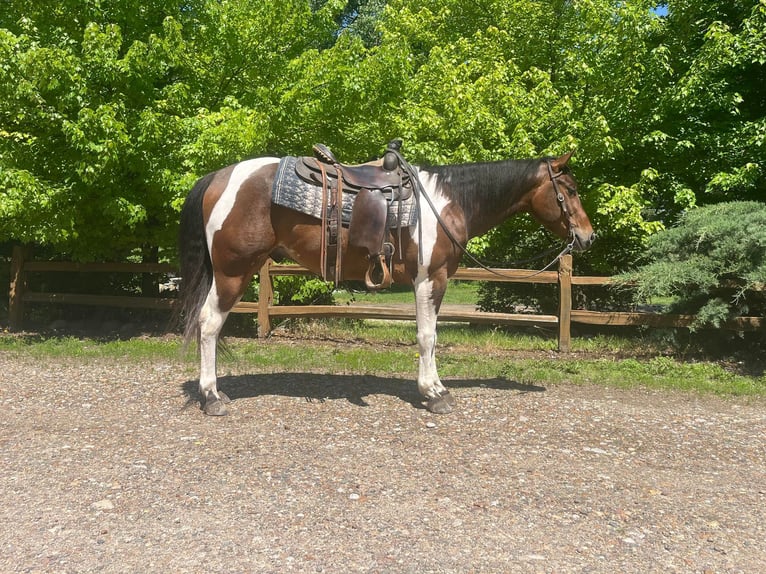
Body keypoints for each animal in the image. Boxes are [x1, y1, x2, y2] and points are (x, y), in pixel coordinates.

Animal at [177, 147, 596, 418]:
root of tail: (218, 177)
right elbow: (428, 336)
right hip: (233, 272)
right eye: (570, 190)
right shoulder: (430, 278)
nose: (588, 237)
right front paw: (435, 393)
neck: (445, 203)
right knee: (208, 325)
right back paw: (211, 397)